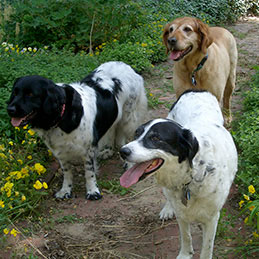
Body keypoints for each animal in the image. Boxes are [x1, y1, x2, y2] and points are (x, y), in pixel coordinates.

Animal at [6, 61, 148, 201]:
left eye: (30, 94)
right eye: (15, 93)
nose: (10, 109)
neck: (62, 116)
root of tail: (126, 65)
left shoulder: (88, 149)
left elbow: (89, 172)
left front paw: (93, 191)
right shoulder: (60, 152)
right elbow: (67, 172)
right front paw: (65, 190)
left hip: (129, 117)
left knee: (126, 137)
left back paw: (128, 163)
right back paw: (108, 151)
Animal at [120, 90, 238, 259]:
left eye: (155, 138)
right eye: (136, 134)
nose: (122, 151)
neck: (190, 177)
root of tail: (196, 90)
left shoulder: (212, 218)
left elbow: (207, 247)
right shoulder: (181, 213)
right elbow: (186, 236)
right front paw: (185, 254)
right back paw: (167, 209)